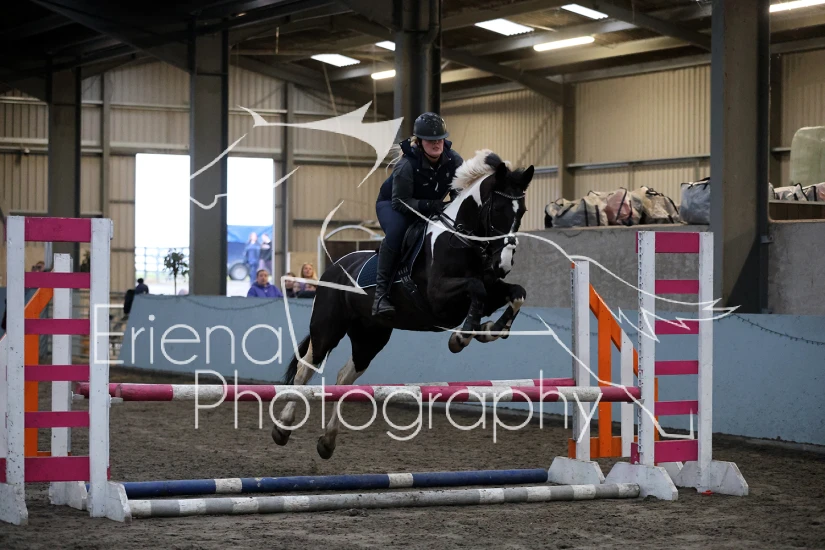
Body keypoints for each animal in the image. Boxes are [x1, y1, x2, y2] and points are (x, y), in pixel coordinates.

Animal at [274, 149, 535, 459]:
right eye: (498, 210)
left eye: (522, 212)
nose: (503, 264)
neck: (460, 239)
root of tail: (334, 266)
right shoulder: (438, 298)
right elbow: (476, 288)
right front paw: (461, 337)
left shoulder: (490, 289)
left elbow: (515, 293)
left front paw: (492, 328)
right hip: (328, 327)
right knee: (306, 368)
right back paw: (282, 429)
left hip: (370, 336)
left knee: (344, 377)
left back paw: (327, 442)